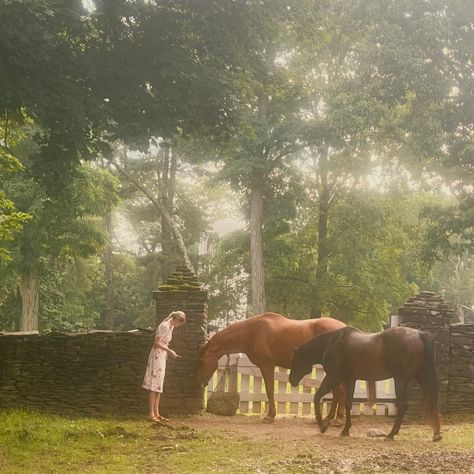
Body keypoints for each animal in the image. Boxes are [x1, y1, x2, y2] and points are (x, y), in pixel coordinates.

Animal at [196, 312, 366, 424]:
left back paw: (337, 419)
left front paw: (270, 416)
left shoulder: (267, 365)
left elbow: (270, 390)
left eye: (202, 360)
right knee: (338, 392)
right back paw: (330, 418)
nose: (202, 382)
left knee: (340, 392)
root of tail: (344, 328)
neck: (253, 332)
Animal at [290, 326, 442, 440]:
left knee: (404, 404)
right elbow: (348, 403)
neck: (332, 344)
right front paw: (345, 430)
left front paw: (322, 425)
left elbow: (317, 397)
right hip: (420, 377)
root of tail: (420, 334)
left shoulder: (333, 377)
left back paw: (391, 434)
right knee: (431, 401)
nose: (291, 380)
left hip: (400, 380)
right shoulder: (350, 380)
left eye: (295, 360)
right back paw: (436, 433)